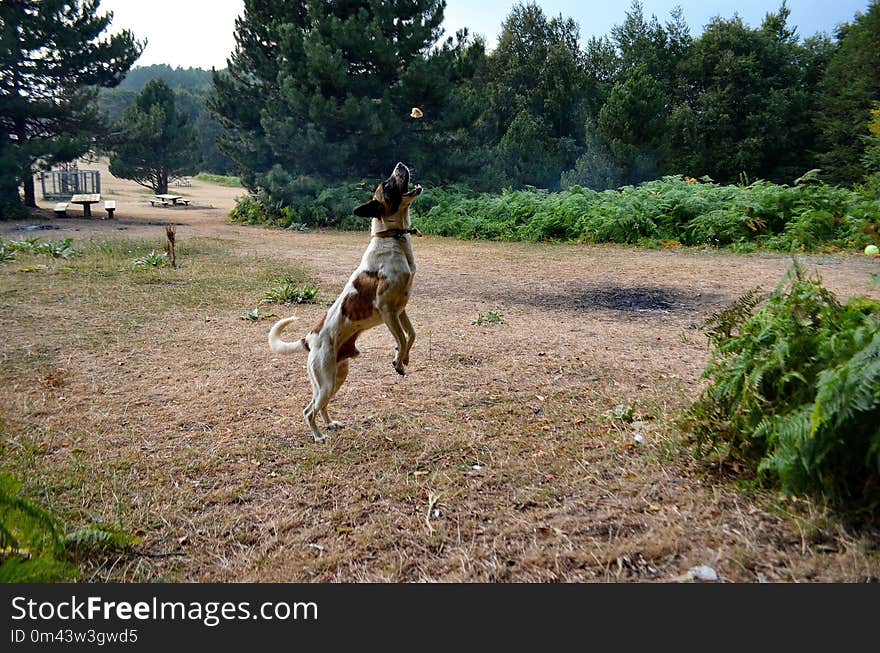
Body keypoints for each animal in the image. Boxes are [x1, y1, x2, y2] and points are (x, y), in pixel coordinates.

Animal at [266, 160, 422, 440]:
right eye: (388, 185)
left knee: (321, 405)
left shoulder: (401, 308)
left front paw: (403, 359)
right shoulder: (386, 310)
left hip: (338, 376)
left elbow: (411, 336)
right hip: (326, 380)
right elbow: (403, 338)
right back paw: (318, 436)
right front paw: (397, 362)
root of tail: (309, 340)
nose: (400, 164)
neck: (393, 238)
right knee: (309, 410)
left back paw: (330, 424)